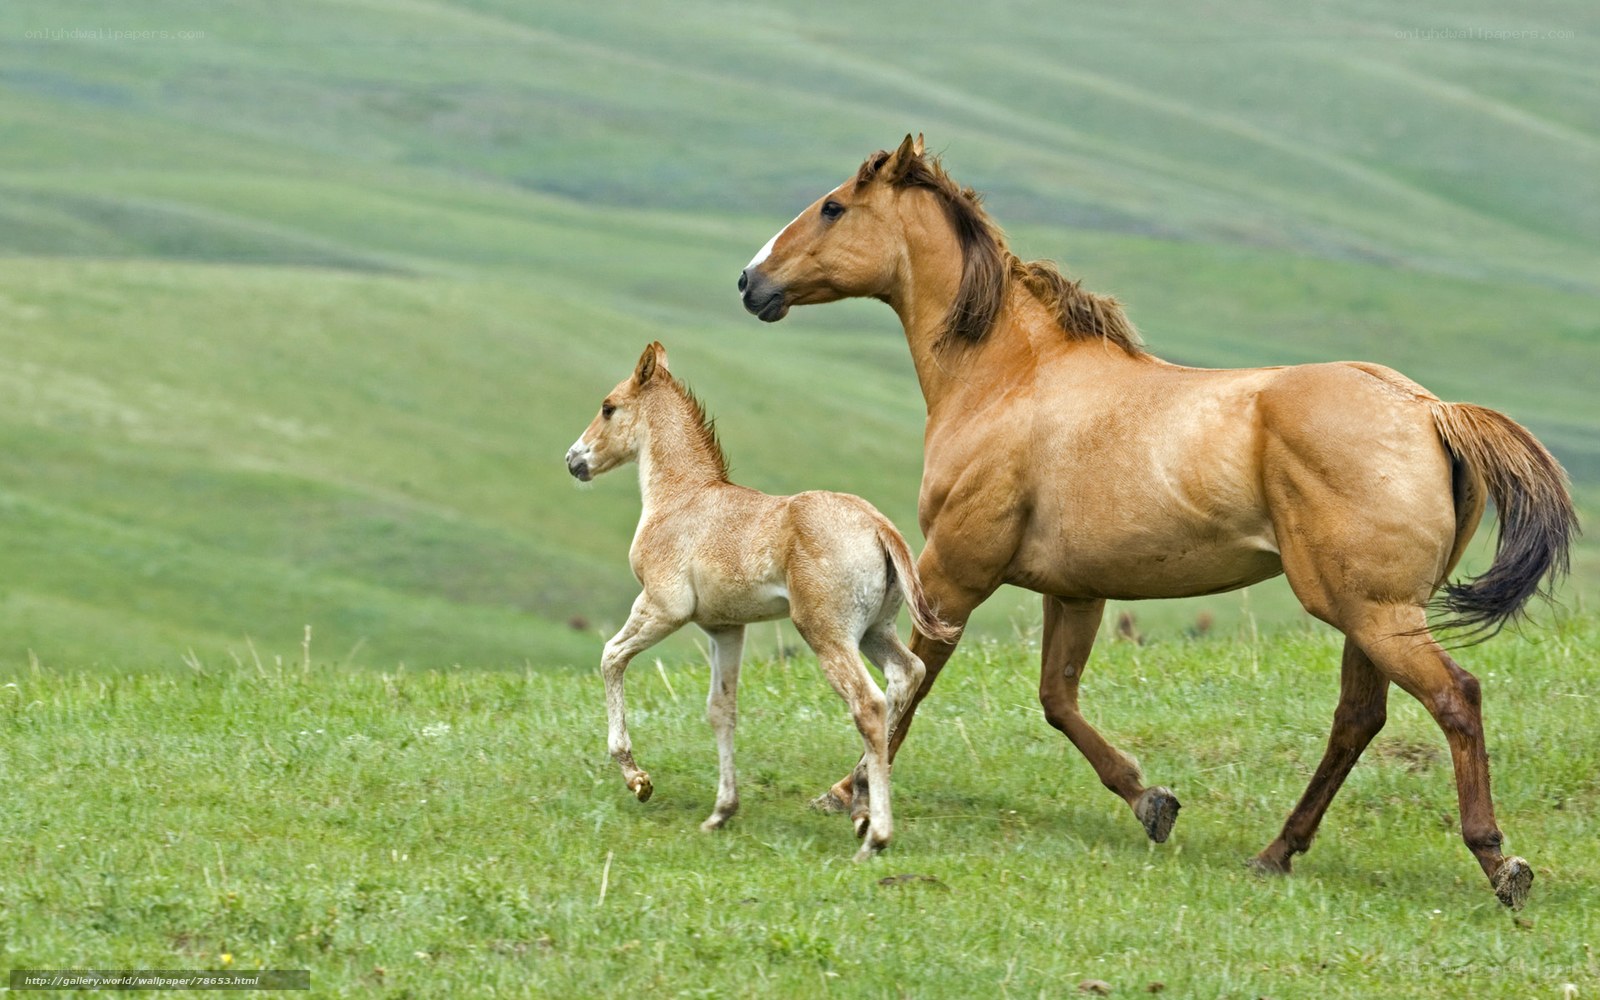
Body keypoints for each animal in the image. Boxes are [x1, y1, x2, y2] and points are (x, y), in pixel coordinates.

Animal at [565, 341, 959, 860]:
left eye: (608, 407)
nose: (574, 460)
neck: (681, 498)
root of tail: (879, 527)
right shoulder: (725, 628)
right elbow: (721, 710)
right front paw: (720, 813)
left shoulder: (662, 608)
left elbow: (611, 657)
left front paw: (637, 779)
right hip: (876, 631)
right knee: (907, 674)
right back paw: (858, 802)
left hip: (826, 633)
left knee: (869, 704)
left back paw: (874, 835)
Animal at [736, 134, 1576, 907]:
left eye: (833, 206)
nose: (750, 282)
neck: (1007, 377)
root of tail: (1429, 410)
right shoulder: (1075, 591)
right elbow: (1057, 700)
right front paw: (1151, 802)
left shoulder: (954, 571)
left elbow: (912, 681)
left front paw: (846, 795)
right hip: (1368, 612)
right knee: (1358, 718)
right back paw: (1277, 852)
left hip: (1372, 611)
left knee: (1454, 698)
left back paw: (1498, 862)